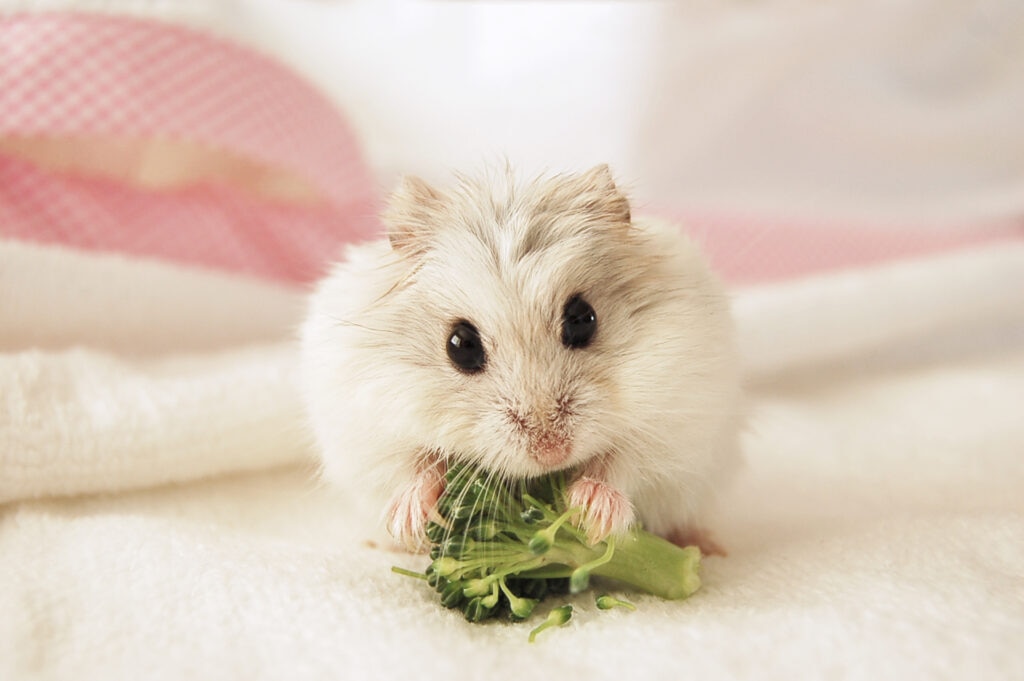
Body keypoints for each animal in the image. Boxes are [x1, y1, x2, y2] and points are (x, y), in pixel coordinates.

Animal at [299, 164, 743, 553]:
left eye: (583, 320)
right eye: (460, 345)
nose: (551, 453)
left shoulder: (674, 426)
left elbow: (623, 463)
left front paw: (592, 514)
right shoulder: (370, 430)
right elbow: (411, 468)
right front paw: (411, 523)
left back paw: (705, 547)